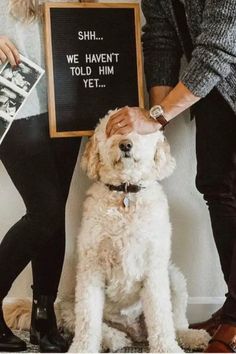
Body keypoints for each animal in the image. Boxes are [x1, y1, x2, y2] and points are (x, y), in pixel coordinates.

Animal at [68, 112, 208, 352]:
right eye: (112, 130)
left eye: (139, 131)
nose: (125, 144)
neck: (126, 194)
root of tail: (135, 332)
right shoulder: (91, 268)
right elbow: (87, 318)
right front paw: (82, 349)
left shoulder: (154, 267)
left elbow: (161, 318)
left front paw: (167, 348)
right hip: (68, 301)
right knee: (87, 322)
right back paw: (115, 338)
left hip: (174, 278)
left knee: (176, 321)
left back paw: (192, 336)